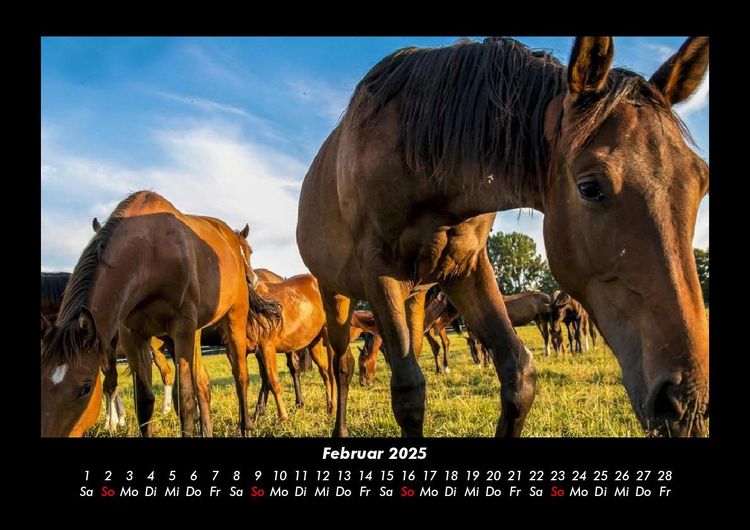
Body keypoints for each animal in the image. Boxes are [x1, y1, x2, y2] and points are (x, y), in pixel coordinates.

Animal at [41, 191, 258, 437]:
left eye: (85, 388)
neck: (151, 254)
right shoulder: (132, 335)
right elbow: (144, 403)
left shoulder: (181, 328)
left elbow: (185, 401)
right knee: (202, 383)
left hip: (233, 319)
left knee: (240, 376)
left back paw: (246, 427)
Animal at [297, 36, 709, 437]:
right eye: (590, 187)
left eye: (701, 180)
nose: (686, 402)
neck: (417, 159)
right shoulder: (380, 273)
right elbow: (408, 394)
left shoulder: (467, 268)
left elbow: (519, 375)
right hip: (336, 295)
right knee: (342, 364)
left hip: (413, 298)